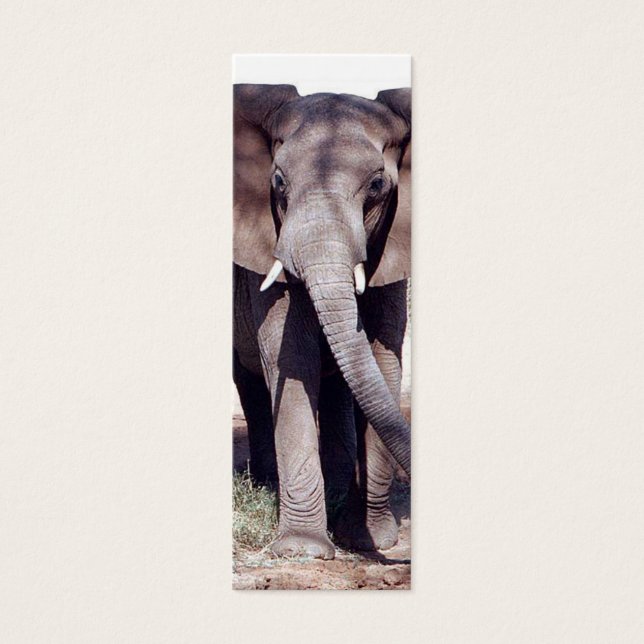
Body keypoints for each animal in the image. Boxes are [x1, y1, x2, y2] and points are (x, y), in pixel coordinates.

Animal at [233, 83, 411, 560]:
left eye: (377, 185)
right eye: (278, 181)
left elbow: (382, 363)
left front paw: (370, 540)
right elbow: (292, 360)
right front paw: (302, 550)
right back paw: (264, 483)